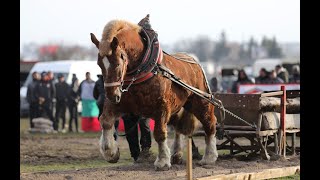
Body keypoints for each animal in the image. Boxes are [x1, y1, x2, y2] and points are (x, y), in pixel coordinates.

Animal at [91, 14, 219, 170]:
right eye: (99, 64)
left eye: (117, 63)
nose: (111, 93)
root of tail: (195, 62)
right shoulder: (119, 103)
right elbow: (105, 120)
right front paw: (110, 152)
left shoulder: (162, 108)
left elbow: (159, 133)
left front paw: (162, 161)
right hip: (178, 107)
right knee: (179, 128)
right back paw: (176, 154)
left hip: (200, 102)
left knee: (210, 123)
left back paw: (209, 157)